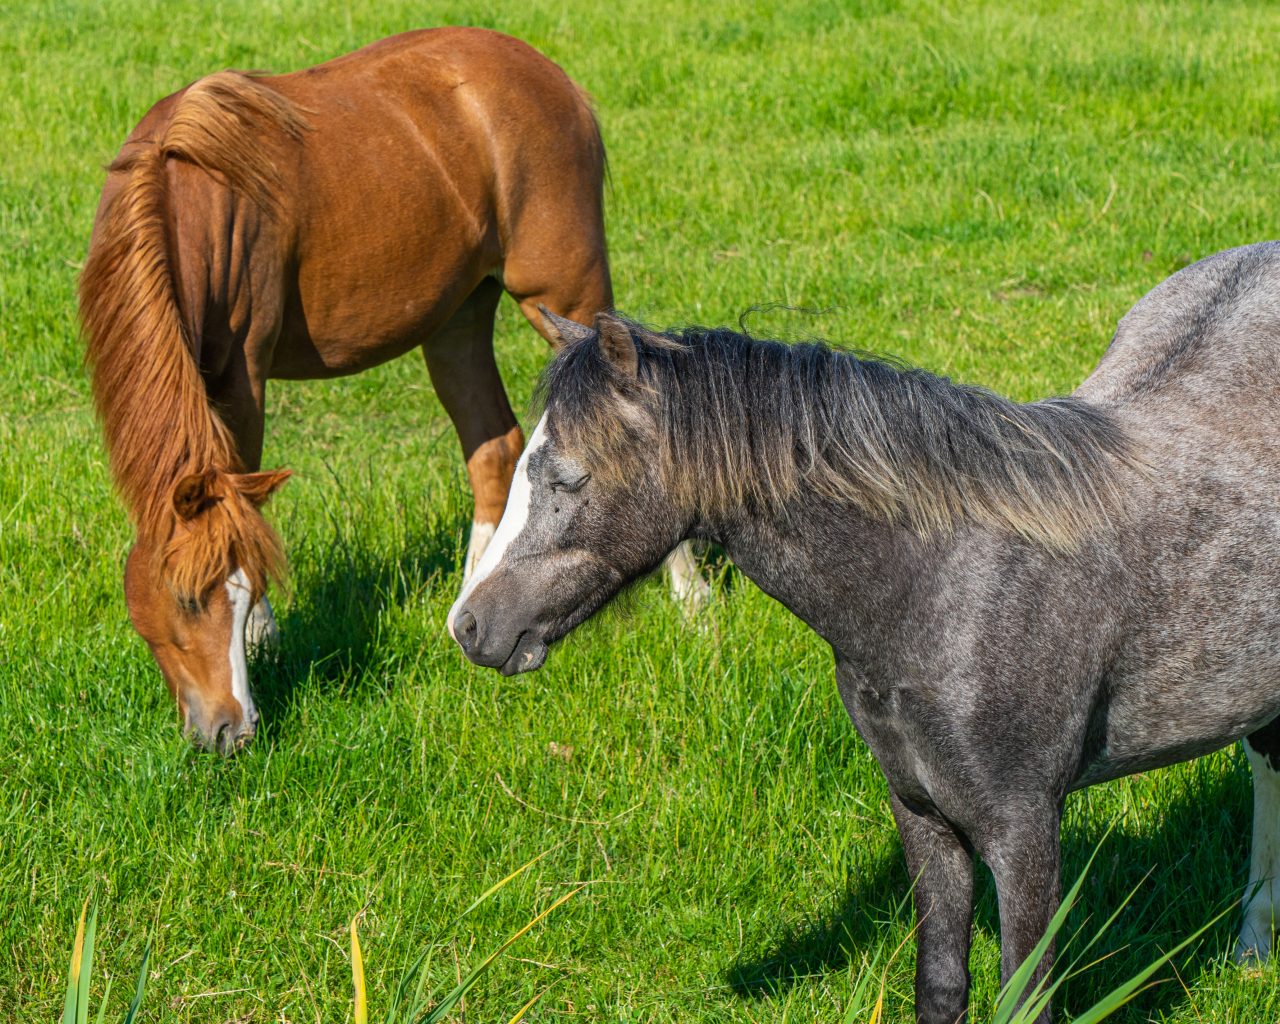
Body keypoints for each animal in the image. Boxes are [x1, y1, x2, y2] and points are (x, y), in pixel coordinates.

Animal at [81, 28, 614, 757]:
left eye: (231, 592)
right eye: (184, 601)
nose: (229, 731)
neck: (187, 196)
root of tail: (553, 77)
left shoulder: (243, 376)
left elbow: (243, 495)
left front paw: (262, 636)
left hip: (565, 296)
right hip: (456, 320)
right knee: (493, 448)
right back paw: (471, 606)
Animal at [448, 244, 1280, 1018]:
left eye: (570, 476)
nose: (470, 625)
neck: (943, 579)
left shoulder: (1026, 832)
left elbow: (1024, 999)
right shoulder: (922, 814)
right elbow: (940, 986)